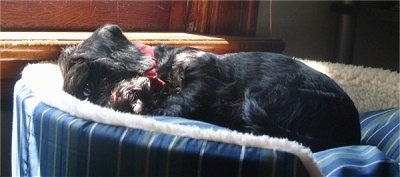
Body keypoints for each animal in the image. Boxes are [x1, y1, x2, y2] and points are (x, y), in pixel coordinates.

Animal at [57, 24, 360, 151]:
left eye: (88, 88)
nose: (116, 103)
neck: (161, 72)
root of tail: (350, 133)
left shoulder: (203, 73)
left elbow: (185, 97)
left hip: (268, 94)